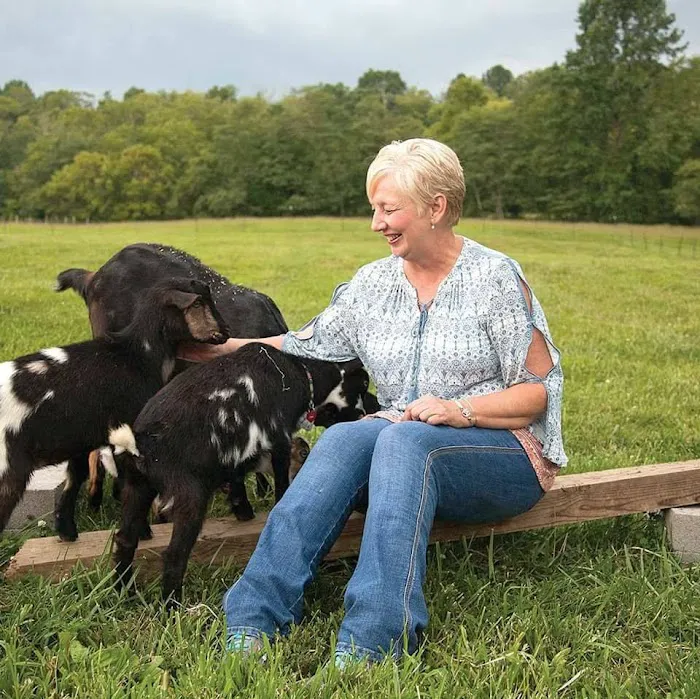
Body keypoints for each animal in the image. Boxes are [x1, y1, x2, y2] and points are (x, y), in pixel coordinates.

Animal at [0, 278, 228, 540]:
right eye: (200, 302)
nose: (225, 332)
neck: (138, 354)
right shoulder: (127, 428)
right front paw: (143, 531)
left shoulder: (85, 435)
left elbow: (74, 478)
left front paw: (67, 532)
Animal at [109, 343, 370, 602]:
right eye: (362, 388)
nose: (369, 410)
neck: (302, 375)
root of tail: (140, 443)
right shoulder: (280, 439)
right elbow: (281, 480)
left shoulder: (233, 452)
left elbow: (236, 478)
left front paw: (243, 511)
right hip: (188, 493)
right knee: (174, 553)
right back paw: (172, 604)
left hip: (136, 487)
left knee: (125, 540)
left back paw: (124, 592)